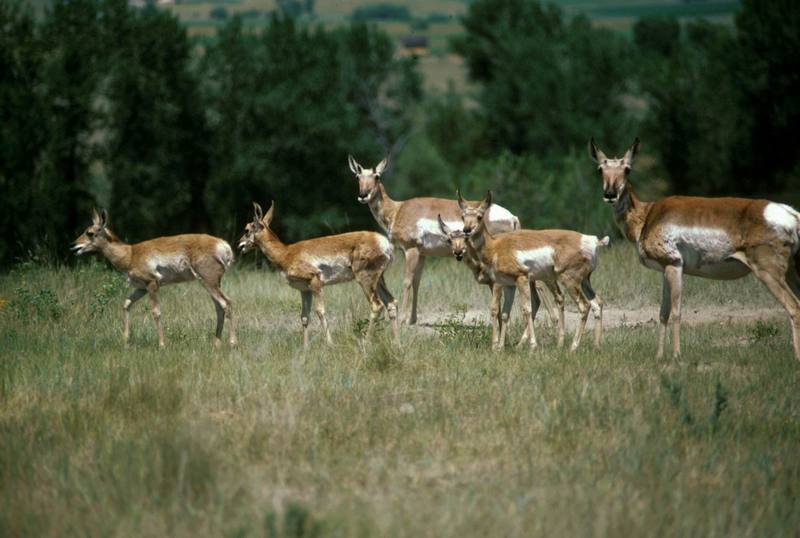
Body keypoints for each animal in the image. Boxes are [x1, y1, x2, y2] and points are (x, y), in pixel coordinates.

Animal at [71, 205, 236, 348]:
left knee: (226, 303)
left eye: (90, 232)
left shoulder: (152, 284)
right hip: (212, 283)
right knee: (219, 307)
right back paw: (216, 344)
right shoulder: (141, 288)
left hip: (209, 281)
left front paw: (161, 344)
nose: (73, 246)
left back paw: (233, 343)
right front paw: (125, 340)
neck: (130, 254)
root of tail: (223, 245)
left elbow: (156, 312)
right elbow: (126, 304)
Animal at [238, 201, 400, 348]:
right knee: (391, 303)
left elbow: (320, 311)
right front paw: (305, 348)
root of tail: (383, 242)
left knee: (377, 305)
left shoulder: (315, 282)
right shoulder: (304, 290)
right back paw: (395, 343)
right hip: (378, 280)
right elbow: (304, 316)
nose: (240, 245)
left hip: (365, 279)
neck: (286, 253)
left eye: (246, 229)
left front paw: (330, 344)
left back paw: (365, 343)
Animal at [348, 153, 520, 324]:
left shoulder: (411, 250)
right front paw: (412, 320)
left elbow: (407, 281)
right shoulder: (422, 254)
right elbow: (417, 282)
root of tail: (512, 217)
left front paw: (403, 319)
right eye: (357, 176)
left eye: (376, 176)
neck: (398, 210)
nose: (363, 195)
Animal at [462, 191, 608, 350]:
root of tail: (592, 241)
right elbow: (506, 312)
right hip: (584, 281)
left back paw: (572, 347)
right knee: (596, 303)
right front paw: (500, 347)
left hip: (569, 281)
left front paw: (532, 345)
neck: (495, 245)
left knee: (584, 306)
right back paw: (596, 345)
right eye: (463, 216)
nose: (466, 230)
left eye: (479, 216)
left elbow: (526, 309)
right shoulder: (509, 285)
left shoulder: (520, 279)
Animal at [588, 136, 800, 358]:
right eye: (600, 169)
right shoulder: (664, 269)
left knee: (794, 307)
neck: (648, 215)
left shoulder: (674, 265)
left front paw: (676, 356)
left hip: (768, 272)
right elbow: (662, 313)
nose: (610, 194)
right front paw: (659, 357)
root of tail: (791, 214)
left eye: (627, 169)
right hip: (791, 272)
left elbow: (676, 312)